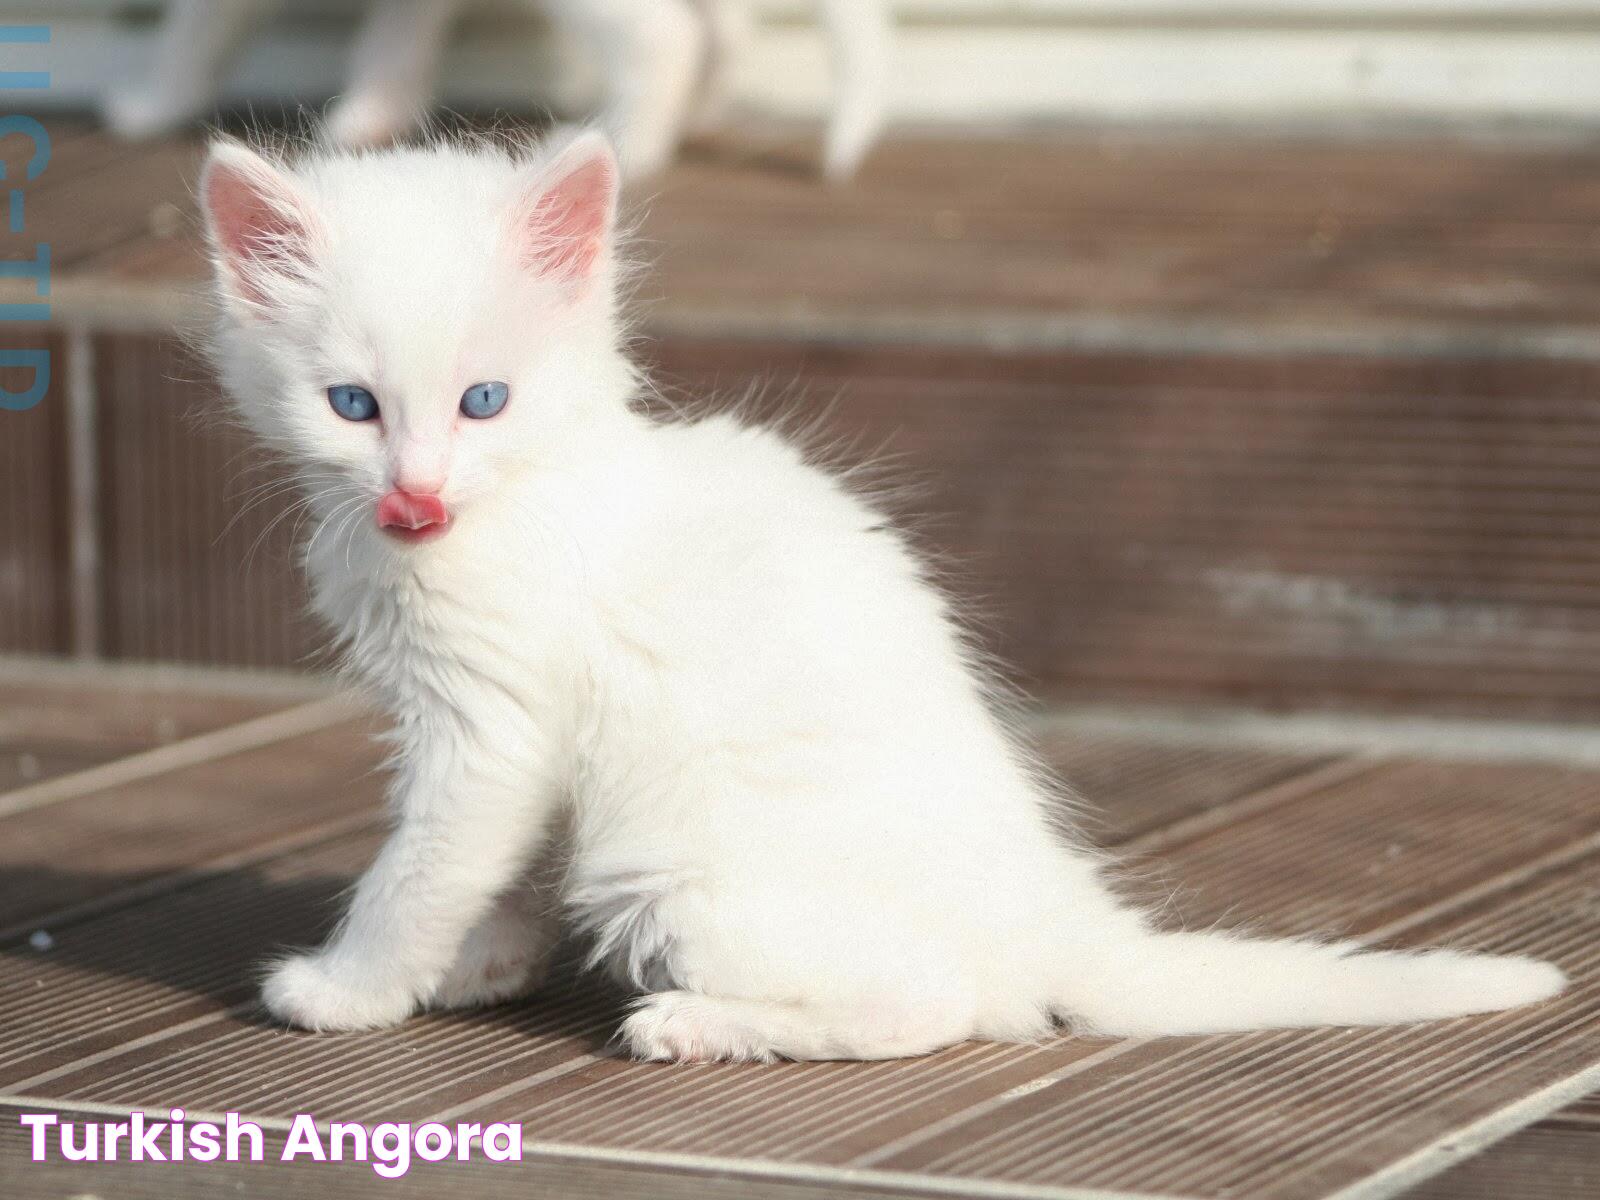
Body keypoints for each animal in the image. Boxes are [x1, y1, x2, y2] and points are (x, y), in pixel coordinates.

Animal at [196, 136, 1561, 1068]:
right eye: (353, 408)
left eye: (484, 402)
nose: (415, 492)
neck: (519, 497)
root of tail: (1052, 908)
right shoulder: (502, 740)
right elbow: (497, 863)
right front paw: (490, 959)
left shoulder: (490, 725)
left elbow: (422, 866)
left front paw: (352, 986)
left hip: (675, 867)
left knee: (935, 1005)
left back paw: (694, 1022)